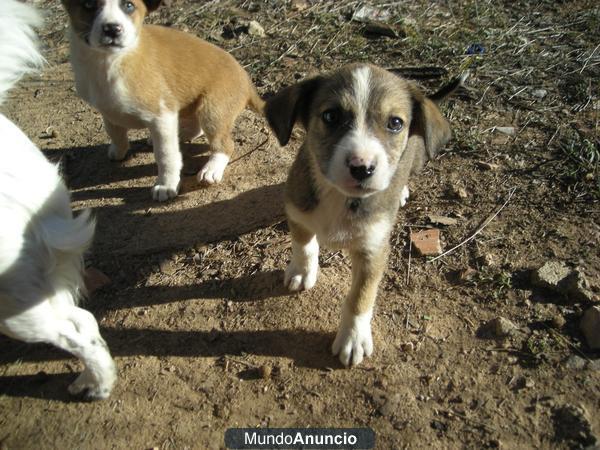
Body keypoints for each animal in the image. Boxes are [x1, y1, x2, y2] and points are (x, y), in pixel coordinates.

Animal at [61, 0, 264, 200]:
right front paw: (118, 151)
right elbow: (114, 132)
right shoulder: (107, 111)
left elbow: (166, 156)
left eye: (129, 5)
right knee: (196, 128)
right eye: (88, 5)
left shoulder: (161, 116)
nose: (112, 29)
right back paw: (178, 135)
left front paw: (166, 185)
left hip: (212, 111)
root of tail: (246, 77)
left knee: (224, 144)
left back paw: (211, 169)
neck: (109, 62)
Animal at [264, 63, 466, 366]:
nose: (362, 167)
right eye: (331, 116)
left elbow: (361, 297)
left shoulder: (373, 251)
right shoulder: (297, 210)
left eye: (395, 123)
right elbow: (304, 245)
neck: (340, 196)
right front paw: (302, 271)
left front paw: (353, 338)